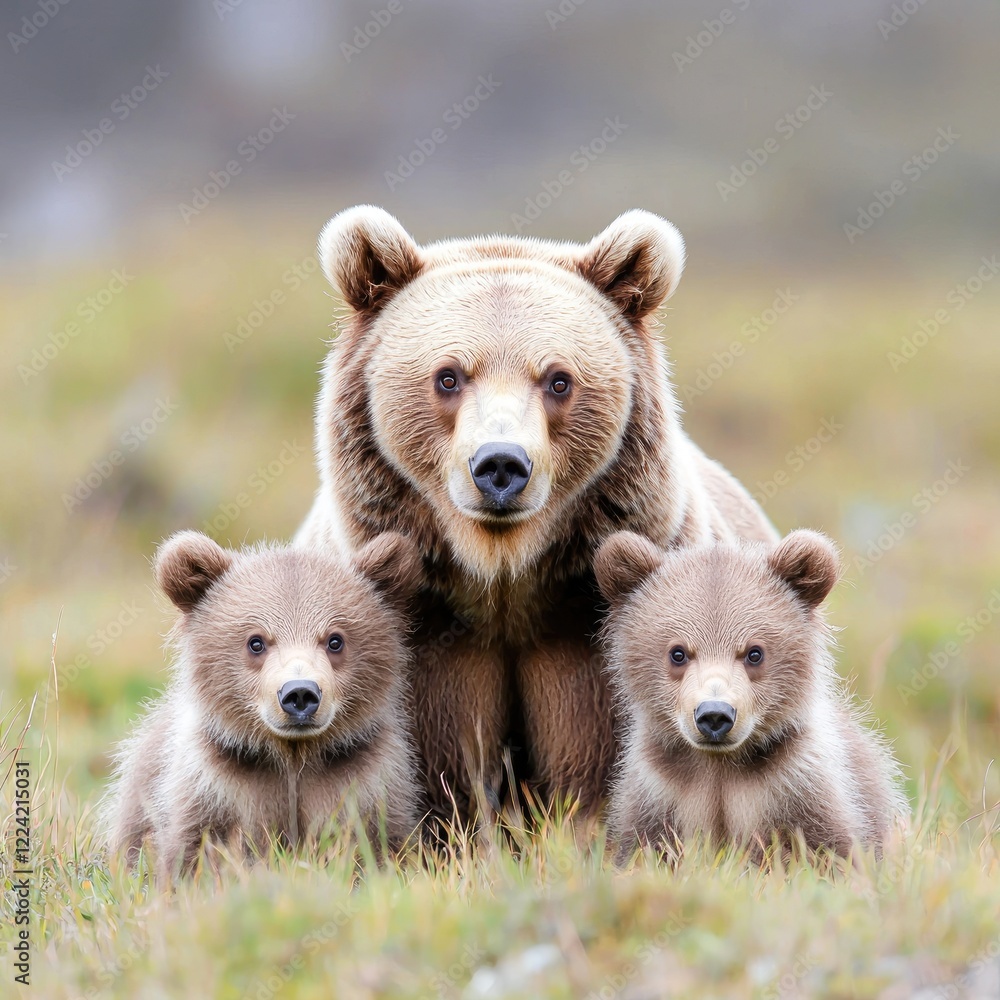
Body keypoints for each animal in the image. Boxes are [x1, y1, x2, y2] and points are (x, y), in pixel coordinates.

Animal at [102, 529, 423, 879]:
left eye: (335, 640)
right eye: (256, 642)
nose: (300, 694)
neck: (292, 755)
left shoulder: (365, 780)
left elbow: (381, 843)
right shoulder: (215, 788)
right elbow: (193, 850)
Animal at [295, 205, 777, 826]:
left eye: (558, 379)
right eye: (448, 376)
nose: (500, 464)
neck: (504, 580)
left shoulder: (595, 621)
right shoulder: (414, 627)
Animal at [593, 528, 907, 863]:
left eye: (754, 652)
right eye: (678, 653)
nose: (714, 714)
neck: (720, 766)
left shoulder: (799, 786)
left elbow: (830, 849)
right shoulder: (659, 792)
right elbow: (642, 848)